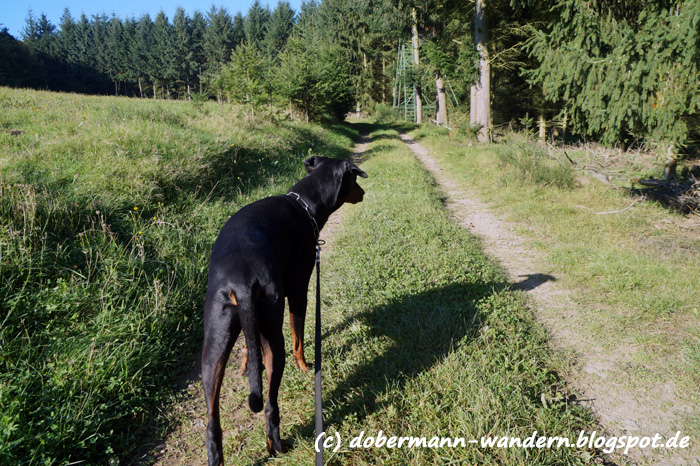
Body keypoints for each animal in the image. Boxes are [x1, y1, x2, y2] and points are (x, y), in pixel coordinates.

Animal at [202, 155, 368, 465]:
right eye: (355, 179)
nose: (363, 192)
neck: (304, 204)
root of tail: (240, 279)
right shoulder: (299, 290)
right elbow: (298, 335)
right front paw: (304, 366)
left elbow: (248, 344)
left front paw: (246, 364)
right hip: (272, 330)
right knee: (269, 403)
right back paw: (278, 446)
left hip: (214, 343)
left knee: (212, 424)